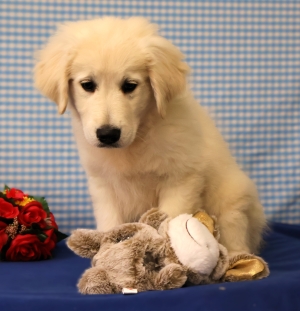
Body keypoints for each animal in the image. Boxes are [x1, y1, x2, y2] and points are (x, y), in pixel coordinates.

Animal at [34, 15, 266, 258]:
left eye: (130, 86)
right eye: (87, 85)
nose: (108, 134)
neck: (139, 137)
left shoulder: (181, 179)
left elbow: (170, 223)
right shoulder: (103, 185)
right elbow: (110, 223)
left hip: (234, 198)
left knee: (236, 233)